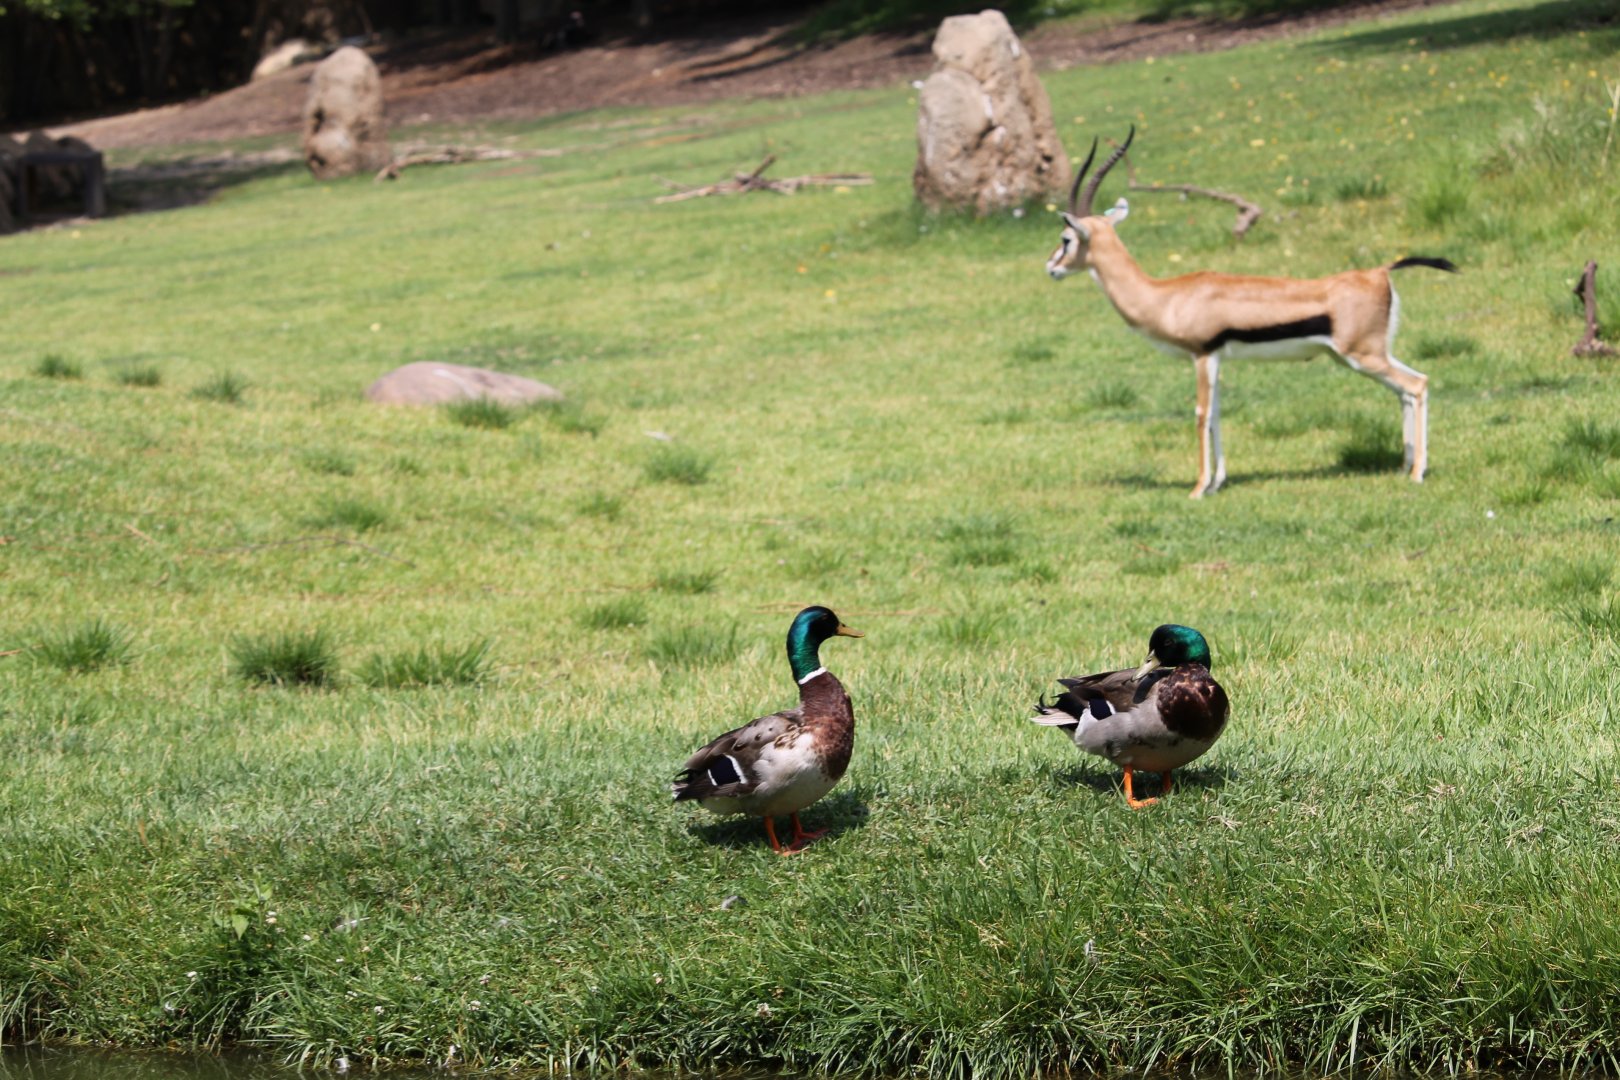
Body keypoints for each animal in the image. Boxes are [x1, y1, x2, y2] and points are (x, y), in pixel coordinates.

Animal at [1046, 127, 1456, 498]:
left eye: (1066, 239)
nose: (1051, 268)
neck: (1166, 296)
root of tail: (1380, 271)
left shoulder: (1202, 355)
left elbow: (1200, 414)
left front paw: (1198, 488)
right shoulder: (1215, 359)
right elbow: (1216, 415)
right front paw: (1217, 483)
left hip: (1362, 356)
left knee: (1416, 385)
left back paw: (1417, 473)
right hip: (1361, 356)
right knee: (1406, 391)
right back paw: (1405, 466)